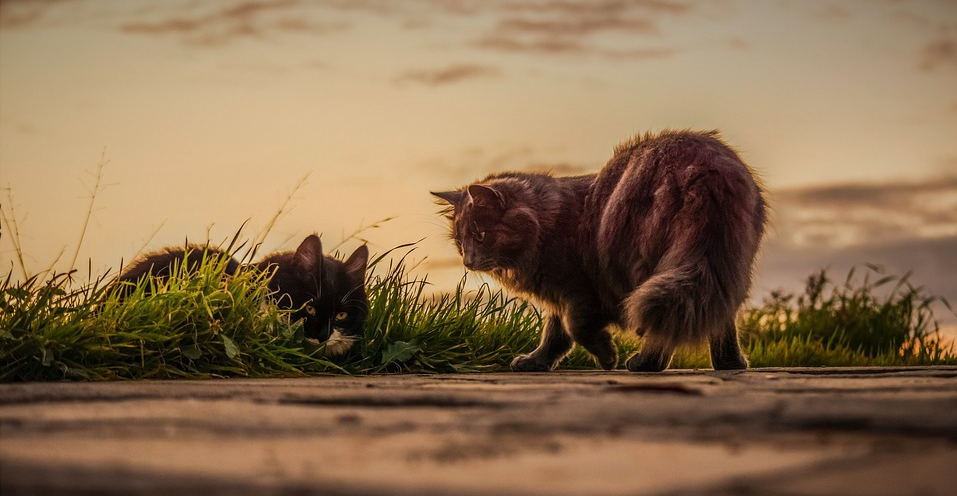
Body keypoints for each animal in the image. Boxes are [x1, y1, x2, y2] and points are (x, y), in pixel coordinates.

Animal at [436, 130, 764, 370]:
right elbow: (555, 336)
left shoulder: (578, 289)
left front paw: (608, 357)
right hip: (720, 262)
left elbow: (575, 328)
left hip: (647, 264)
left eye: (481, 235)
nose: (468, 261)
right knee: (719, 315)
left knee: (665, 320)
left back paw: (645, 364)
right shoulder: (559, 296)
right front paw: (536, 362)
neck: (548, 223)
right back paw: (730, 364)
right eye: (460, 242)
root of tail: (705, 165)